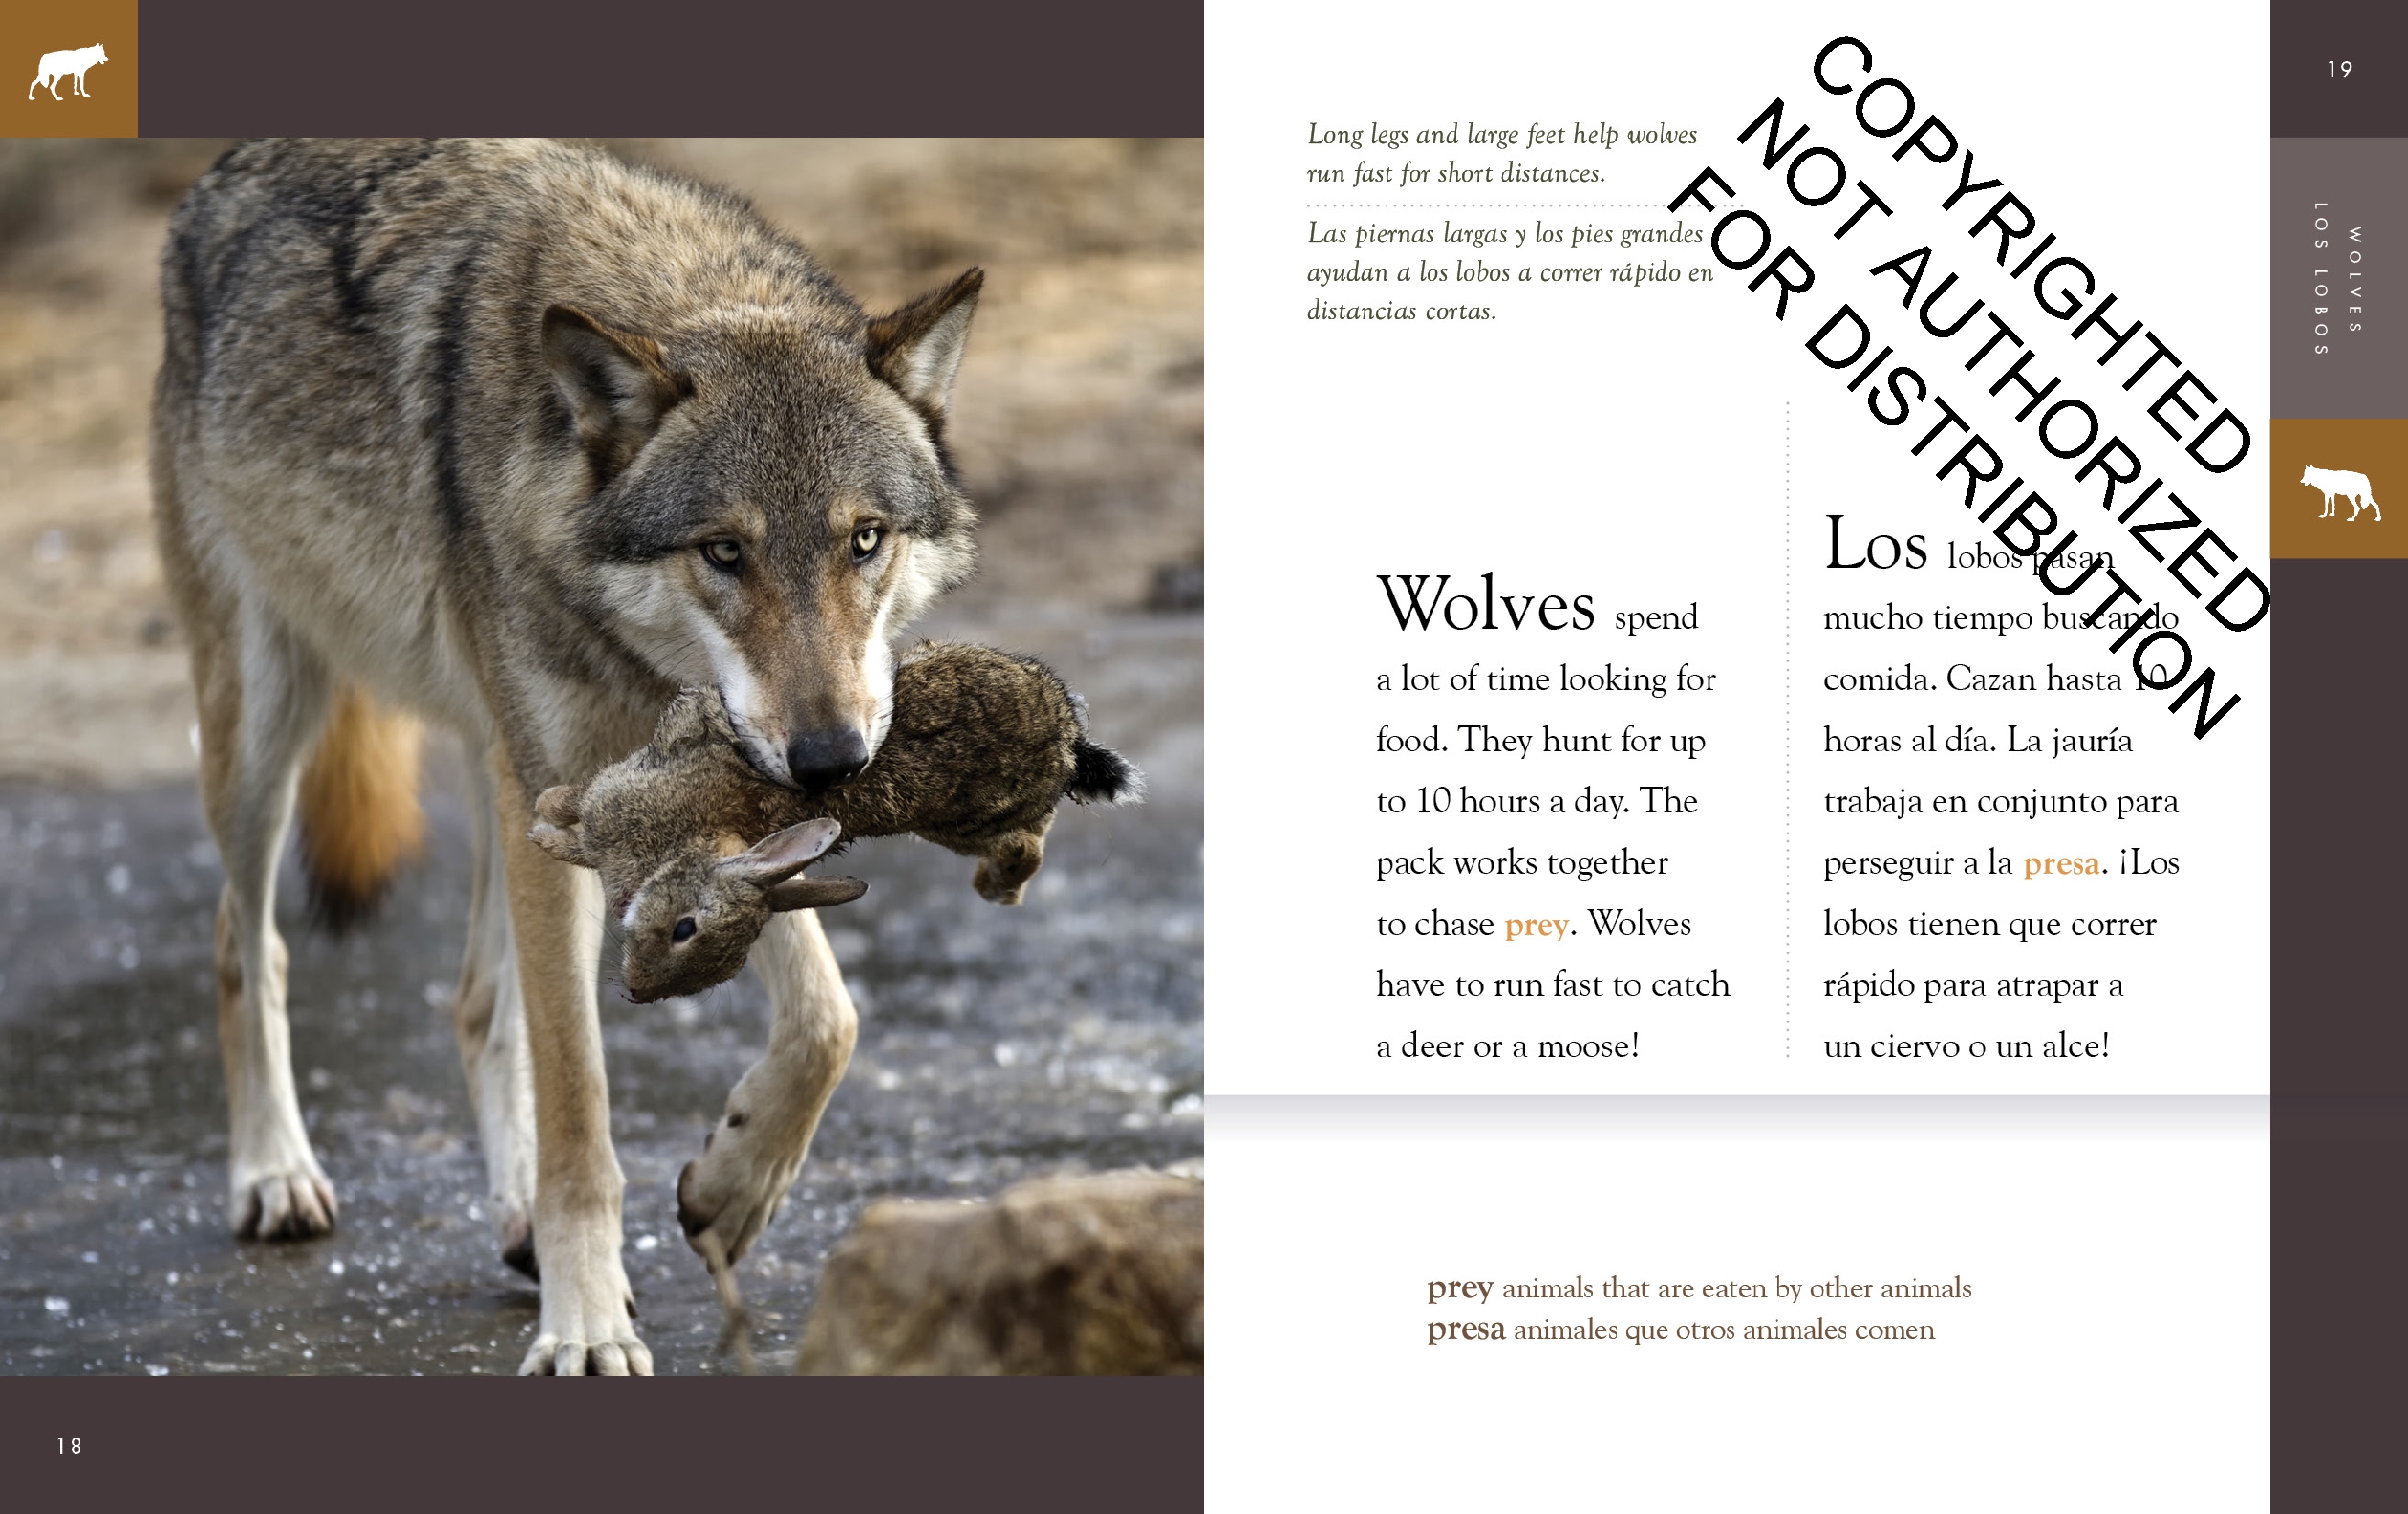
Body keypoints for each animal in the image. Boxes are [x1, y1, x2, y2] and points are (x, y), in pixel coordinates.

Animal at [152, 139, 983, 1375]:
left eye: (865, 540)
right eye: (723, 553)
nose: (831, 760)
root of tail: (218, 175)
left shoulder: (701, 794)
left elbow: (829, 1022)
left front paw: (734, 1188)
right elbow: (580, 1106)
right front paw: (586, 1328)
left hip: (499, 772)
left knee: (472, 1002)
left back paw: (516, 1225)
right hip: (269, 725)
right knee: (242, 942)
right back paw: (276, 1174)